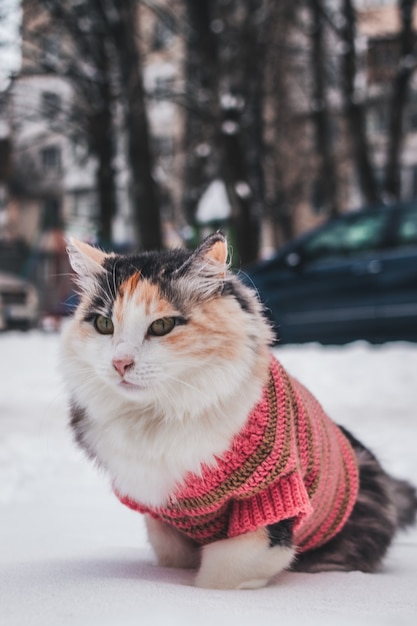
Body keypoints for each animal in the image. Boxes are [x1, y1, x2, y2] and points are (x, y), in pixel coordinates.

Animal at [61, 232, 416, 588]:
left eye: (162, 326)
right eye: (104, 324)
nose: (119, 363)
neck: (160, 414)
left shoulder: (272, 497)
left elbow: (225, 574)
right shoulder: (161, 518)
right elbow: (172, 557)